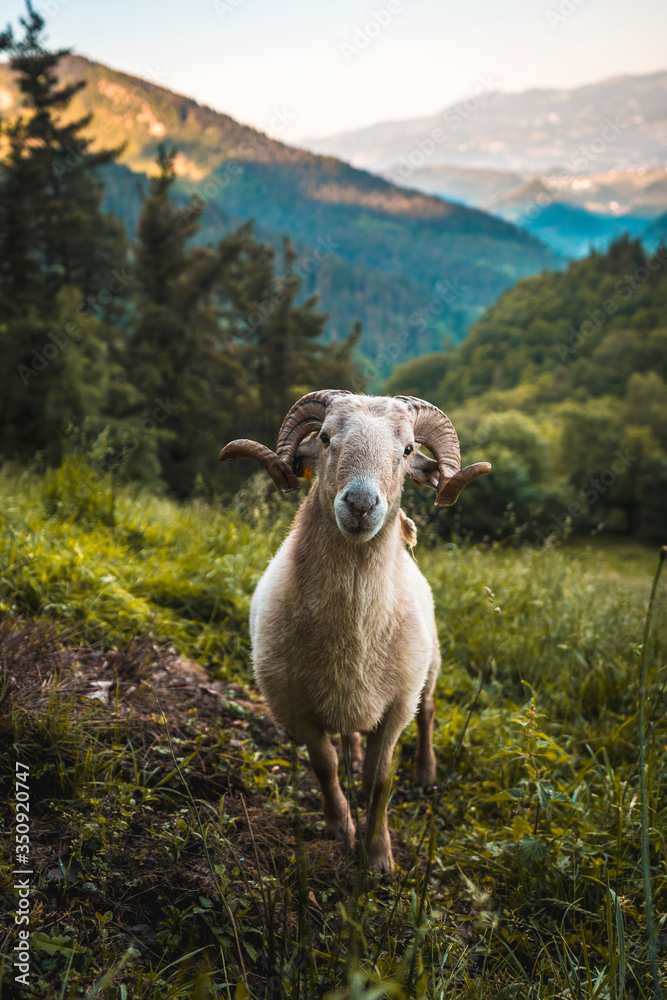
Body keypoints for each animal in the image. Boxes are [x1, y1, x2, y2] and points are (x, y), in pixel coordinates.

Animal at [219, 391, 490, 872]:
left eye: (407, 450)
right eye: (326, 438)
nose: (361, 505)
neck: (355, 629)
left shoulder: (397, 707)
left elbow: (381, 780)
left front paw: (379, 856)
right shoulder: (292, 706)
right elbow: (325, 766)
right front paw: (338, 827)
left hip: (430, 668)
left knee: (429, 713)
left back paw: (425, 773)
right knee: (350, 738)